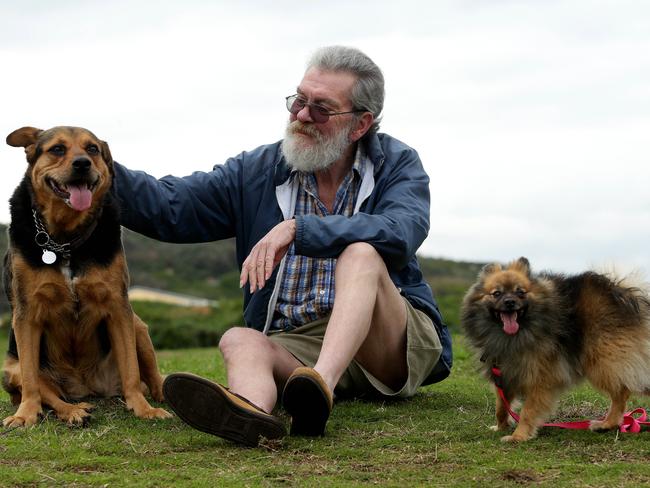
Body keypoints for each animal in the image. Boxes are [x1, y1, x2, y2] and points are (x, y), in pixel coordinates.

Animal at [1, 127, 172, 428]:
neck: (65, 239)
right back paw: (74, 410)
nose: (82, 164)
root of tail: (84, 386)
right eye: (57, 149)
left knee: (150, 377)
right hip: (10, 368)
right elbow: (32, 381)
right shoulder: (27, 315)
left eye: (92, 149)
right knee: (49, 393)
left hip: (138, 326)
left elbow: (131, 370)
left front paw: (143, 409)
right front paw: (25, 414)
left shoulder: (118, 308)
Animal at [458, 260, 644, 442]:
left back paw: (607, 423)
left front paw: (519, 436)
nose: (509, 302)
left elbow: (528, 411)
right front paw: (501, 426)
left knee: (621, 392)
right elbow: (501, 406)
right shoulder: (504, 374)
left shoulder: (540, 378)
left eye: (520, 292)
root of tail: (623, 290)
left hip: (601, 362)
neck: (512, 337)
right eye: (497, 293)